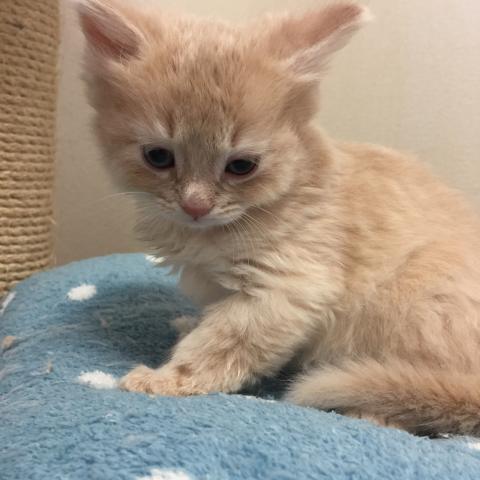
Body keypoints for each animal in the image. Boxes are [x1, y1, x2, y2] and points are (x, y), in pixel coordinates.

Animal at [77, 0, 480, 436]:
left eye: (242, 166)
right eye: (157, 157)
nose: (195, 206)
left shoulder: (287, 287)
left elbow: (220, 343)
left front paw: (165, 378)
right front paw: (189, 325)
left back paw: (375, 410)